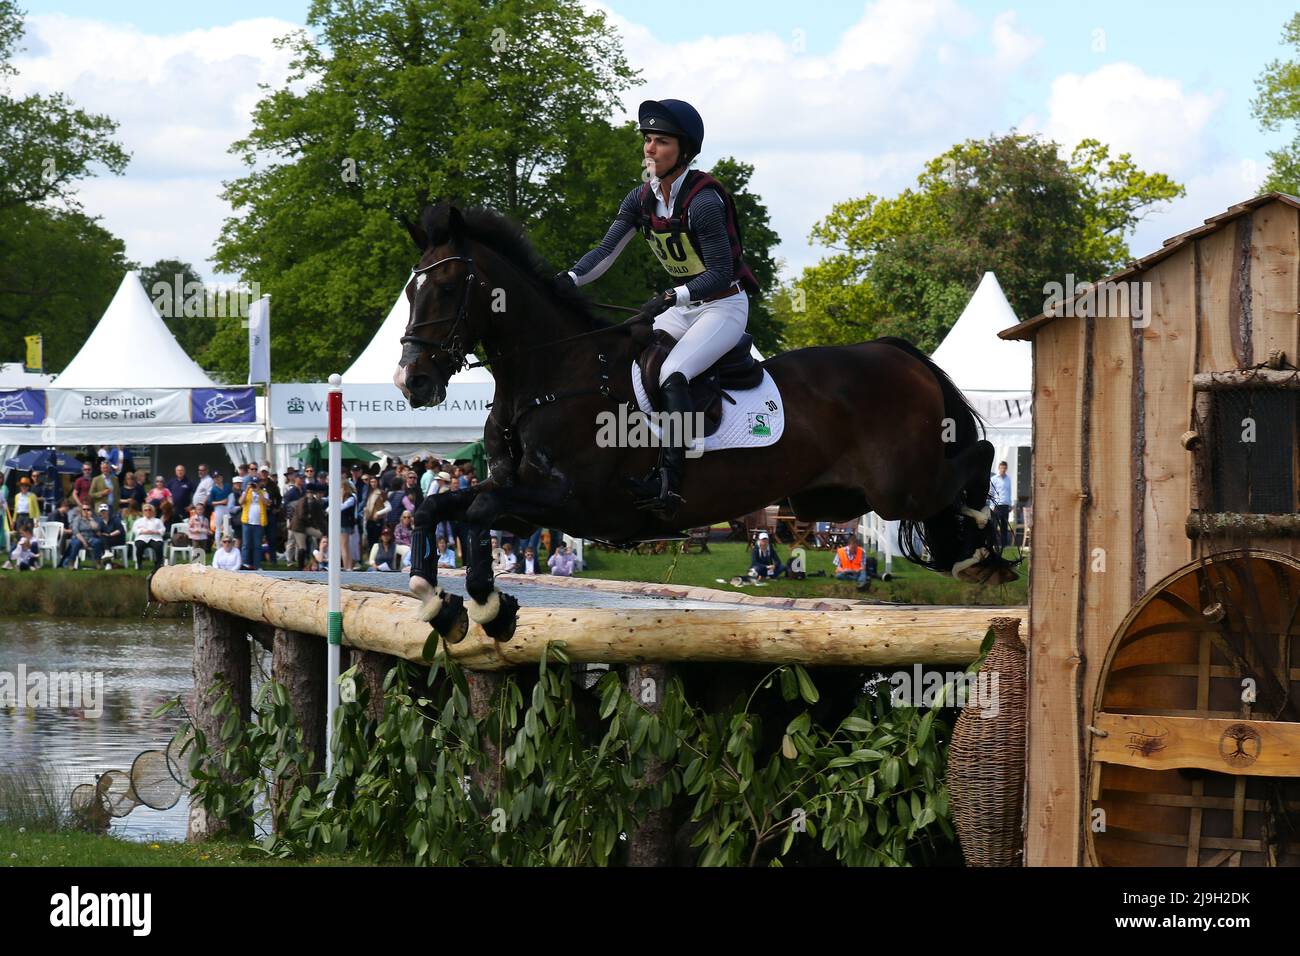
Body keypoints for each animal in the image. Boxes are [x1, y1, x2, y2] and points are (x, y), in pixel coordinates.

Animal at [392, 201, 1013, 642]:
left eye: (446, 287)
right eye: (410, 289)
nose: (411, 381)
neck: (554, 372)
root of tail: (896, 353)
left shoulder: (571, 502)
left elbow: (476, 513)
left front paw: (488, 607)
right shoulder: (519, 497)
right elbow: (435, 509)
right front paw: (437, 602)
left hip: (896, 487)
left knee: (976, 459)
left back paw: (980, 546)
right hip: (835, 498)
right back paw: (974, 553)